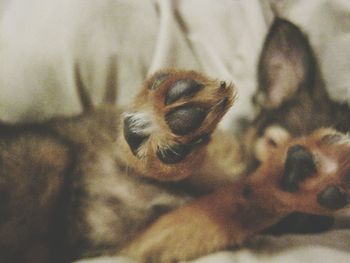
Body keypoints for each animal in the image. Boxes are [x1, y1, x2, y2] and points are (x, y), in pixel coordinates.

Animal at [0, 17, 350, 262]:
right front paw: (164, 126)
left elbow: (232, 205)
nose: (297, 162)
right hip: (47, 153)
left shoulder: (149, 241)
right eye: (273, 144)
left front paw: (307, 180)